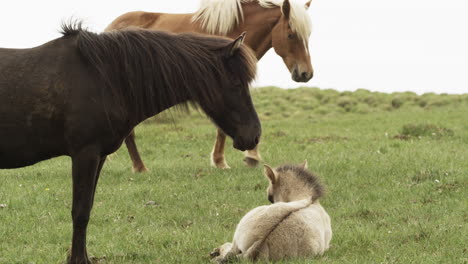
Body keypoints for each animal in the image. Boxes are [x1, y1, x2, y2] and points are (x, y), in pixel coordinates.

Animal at [0, 23, 260, 264]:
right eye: (236, 83)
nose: (254, 135)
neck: (104, 77)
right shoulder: (85, 154)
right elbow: (80, 212)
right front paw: (78, 259)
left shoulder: (99, 156)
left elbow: (88, 207)